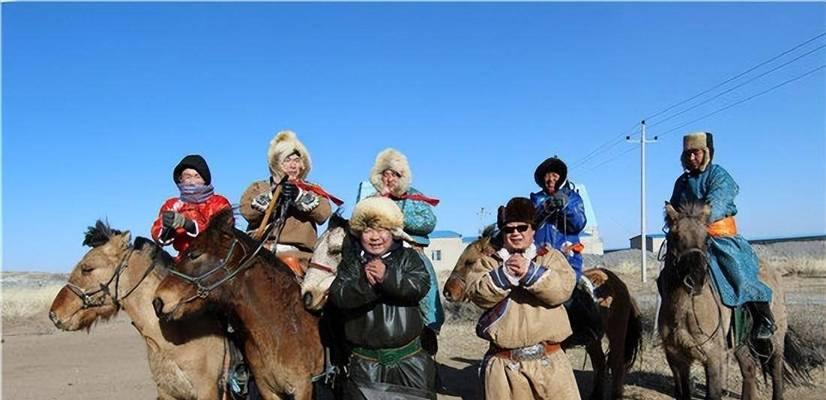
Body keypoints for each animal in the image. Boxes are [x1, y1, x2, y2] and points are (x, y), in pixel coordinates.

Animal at [656, 203, 816, 400]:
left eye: (706, 238)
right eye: (675, 236)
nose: (696, 279)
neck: (684, 311)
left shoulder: (713, 357)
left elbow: (713, 394)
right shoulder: (676, 359)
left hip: (776, 338)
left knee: (776, 368)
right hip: (741, 342)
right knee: (749, 368)